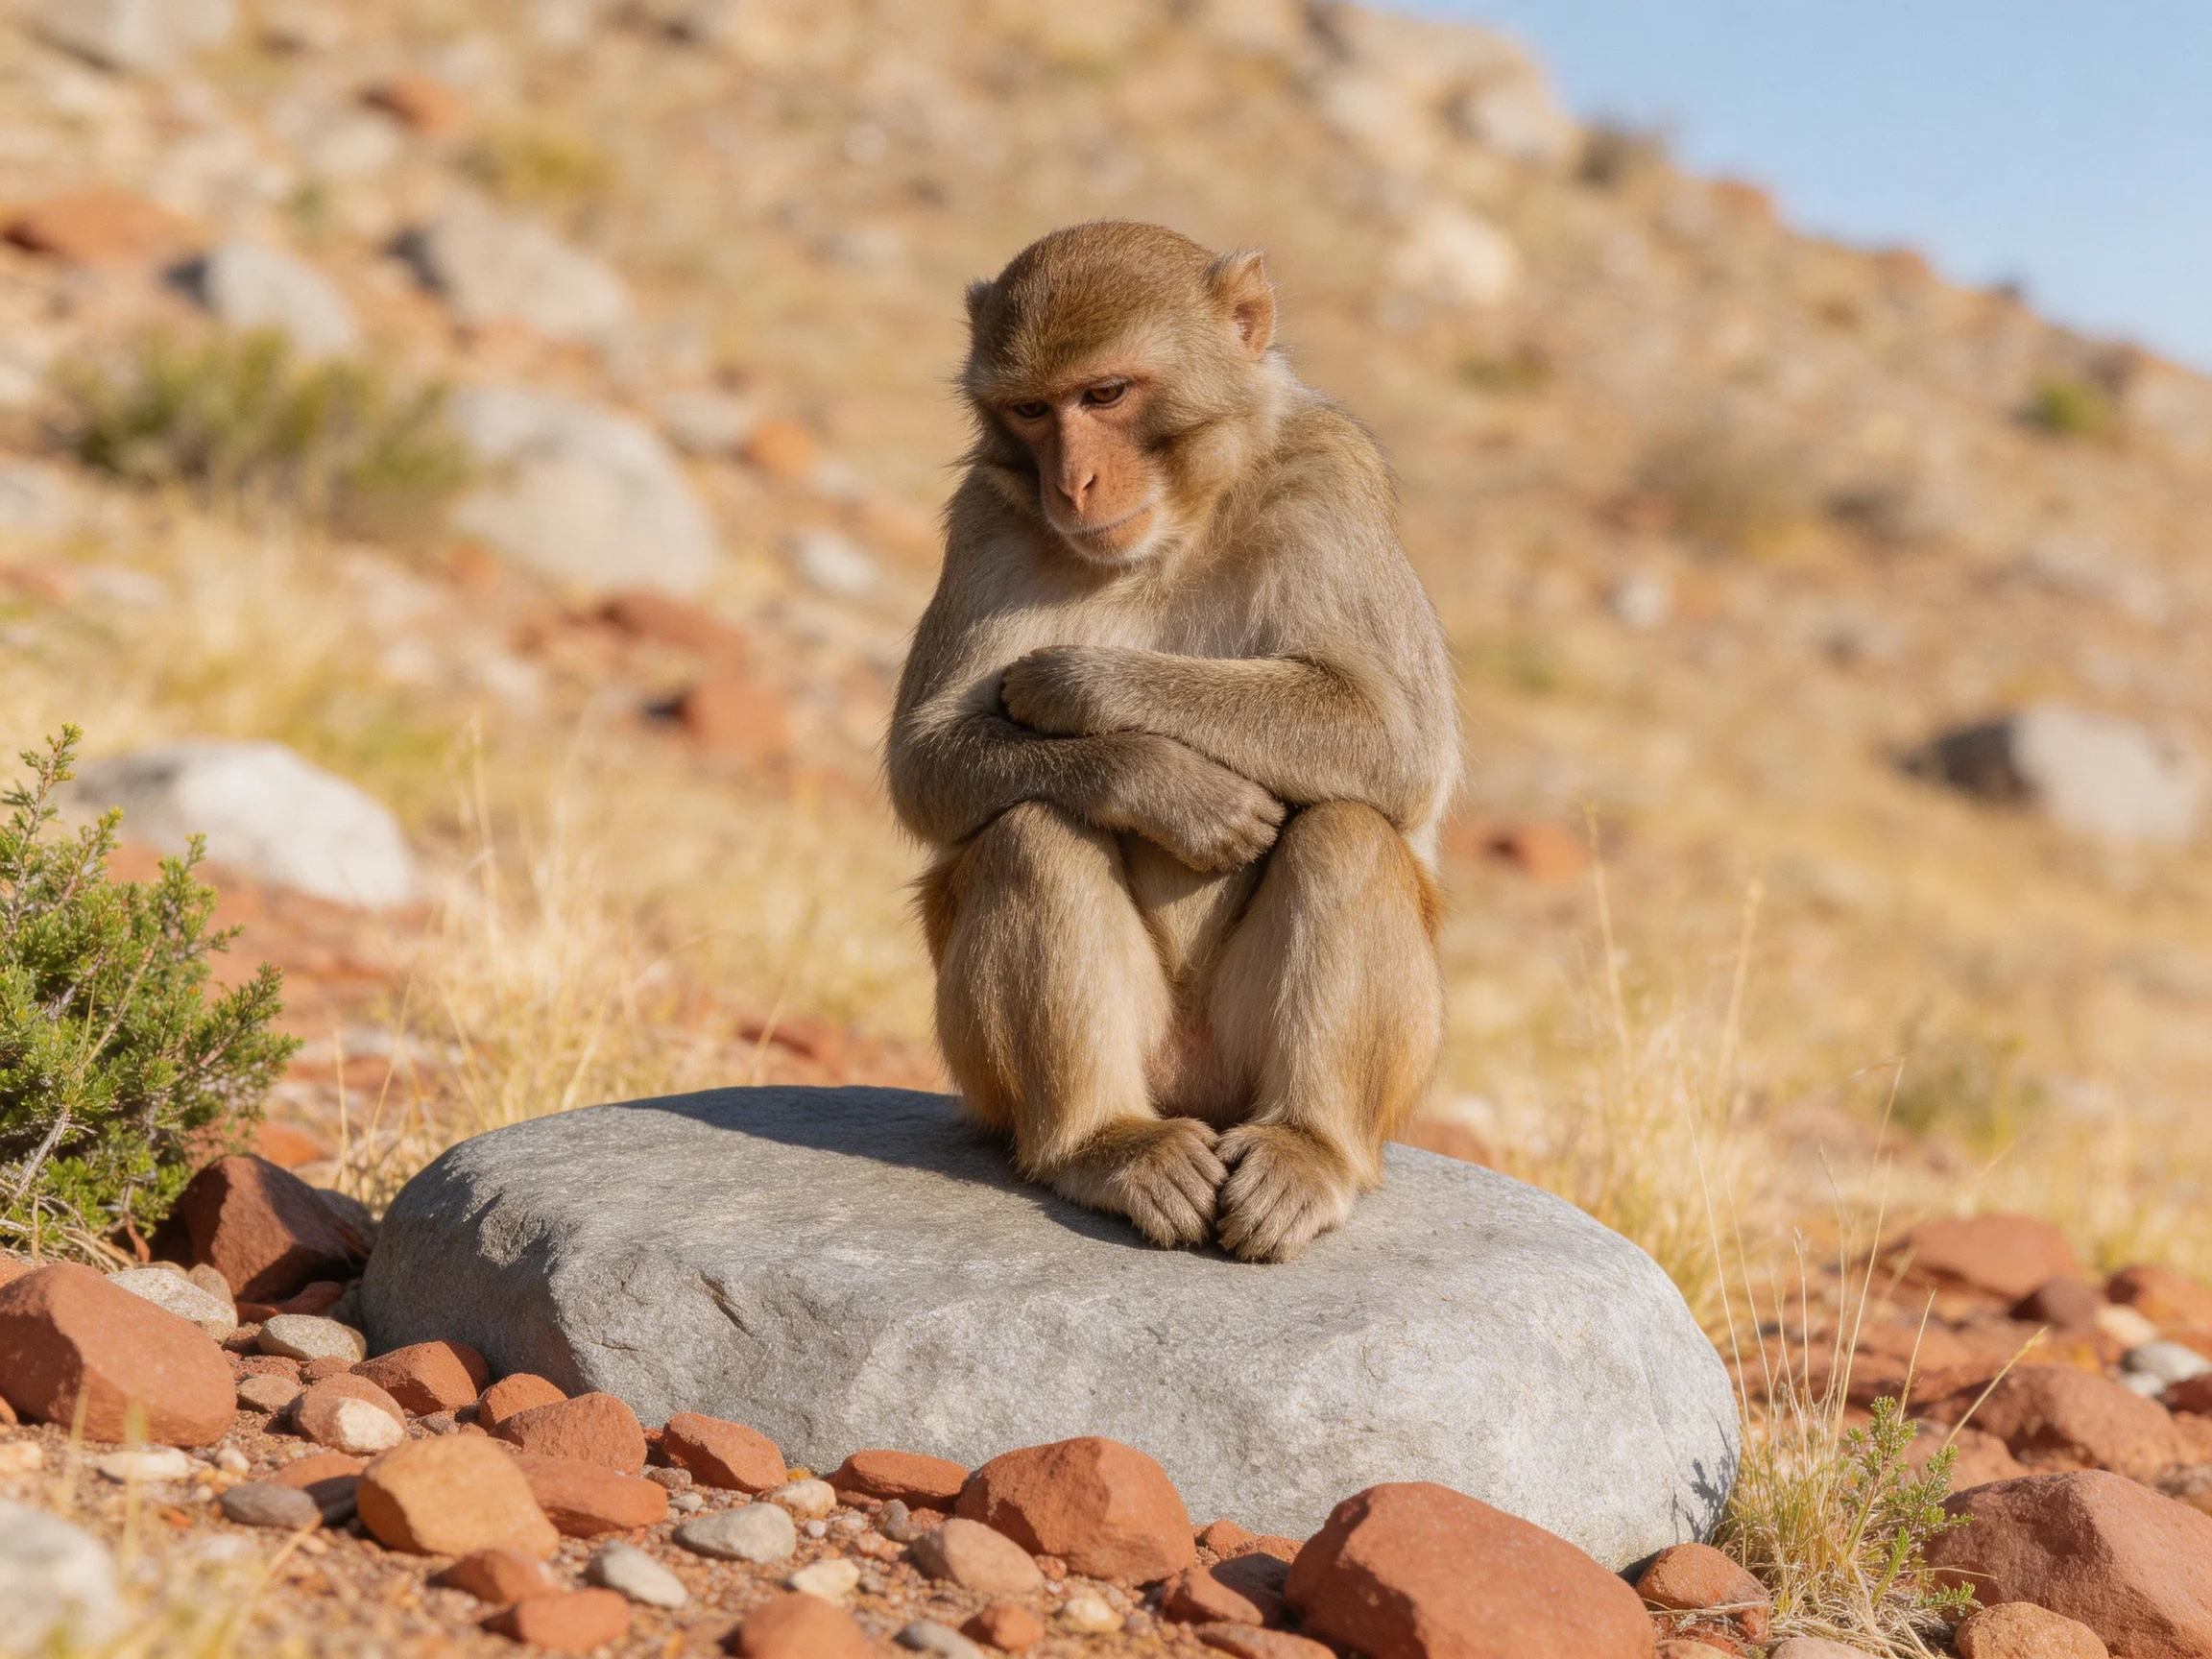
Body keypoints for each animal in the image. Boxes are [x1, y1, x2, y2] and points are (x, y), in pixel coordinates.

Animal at [887, 222, 1460, 1263]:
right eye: (1031, 409)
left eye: (1106, 394)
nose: (1072, 482)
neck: (1179, 527)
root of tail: (1195, 1089)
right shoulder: (988, 511)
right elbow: (926, 762)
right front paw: (1165, 781)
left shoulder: (1329, 478)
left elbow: (1395, 743)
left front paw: (1076, 684)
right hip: (1004, 1081)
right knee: (1031, 830)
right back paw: (1105, 1144)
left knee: (1348, 829)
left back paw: (1307, 1148)